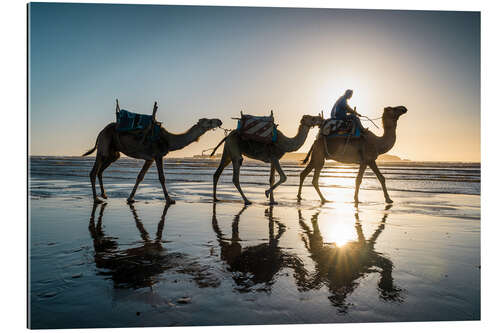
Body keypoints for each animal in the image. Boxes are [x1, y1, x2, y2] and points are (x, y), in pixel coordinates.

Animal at [83, 107, 222, 204]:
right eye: (209, 121)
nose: (219, 121)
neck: (169, 140)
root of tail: (100, 132)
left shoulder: (149, 159)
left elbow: (140, 177)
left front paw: (130, 198)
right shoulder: (158, 155)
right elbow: (162, 178)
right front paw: (169, 199)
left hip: (113, 153)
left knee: (101, 170)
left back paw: (104, 195)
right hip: (104, 146)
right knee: (94, 171)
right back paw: (96, 199)